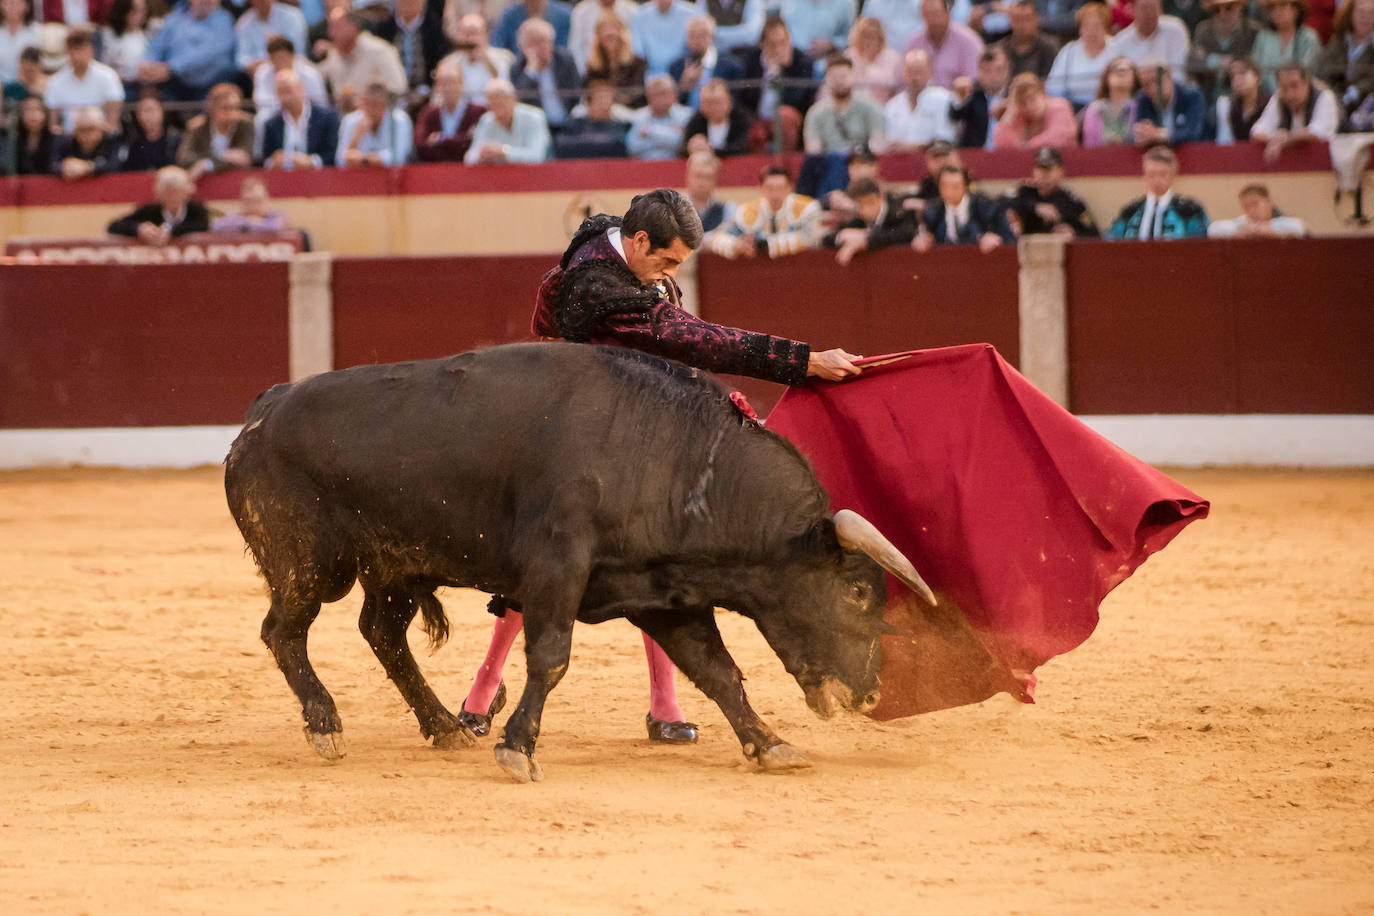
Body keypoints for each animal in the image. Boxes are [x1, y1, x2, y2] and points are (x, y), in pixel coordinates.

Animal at [225, 340, 934, 785]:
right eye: (858, 594)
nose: (873, 692)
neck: (671, 457)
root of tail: (265, 408)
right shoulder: (557, 569)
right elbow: (551, 657)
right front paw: (518, 748)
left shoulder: (664, 592)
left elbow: (720, 672)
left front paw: (771, 745)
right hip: (309, 563)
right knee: (284, 631)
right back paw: (326, 726)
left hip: (395, 568)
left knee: (381, 633)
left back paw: (445, 727)